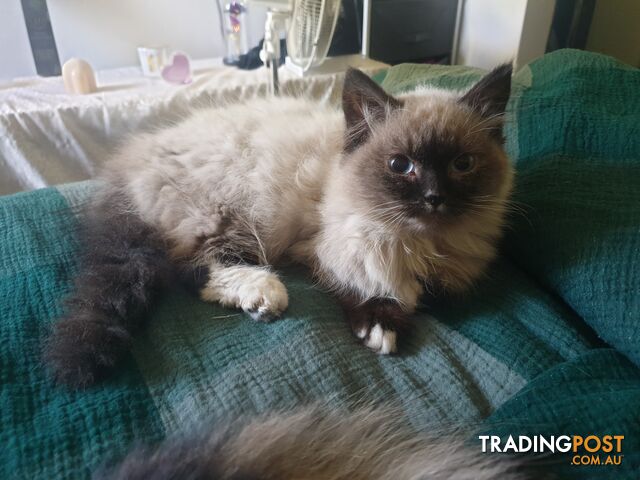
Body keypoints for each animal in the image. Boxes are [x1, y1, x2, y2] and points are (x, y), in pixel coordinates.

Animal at [45, 63, 516, 388]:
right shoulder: (329, 247)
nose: (434, 198)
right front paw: (382, 327)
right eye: (402, 166)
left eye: (462, 165)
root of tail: (132, 157)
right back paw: (264, 296)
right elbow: (366, 283)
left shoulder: (454, 272)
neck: (423, 243)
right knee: (190, 269)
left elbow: (434, 292)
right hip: (231, 214)